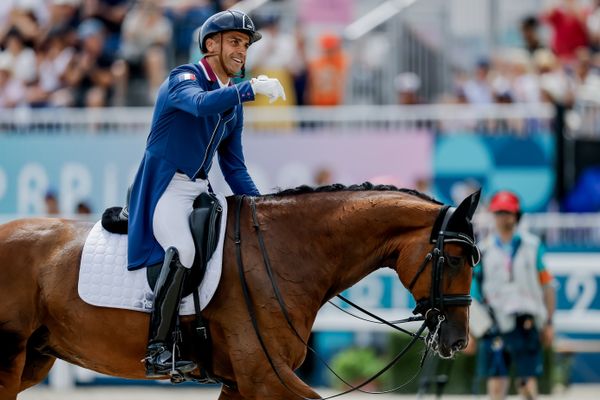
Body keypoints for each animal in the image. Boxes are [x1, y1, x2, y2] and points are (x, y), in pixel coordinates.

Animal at [0, 183, 480, 398]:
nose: (459, 342)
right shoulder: (266, 378)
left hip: (35, 358)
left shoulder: (242, 382)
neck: (288, 250)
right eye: (456, 259)